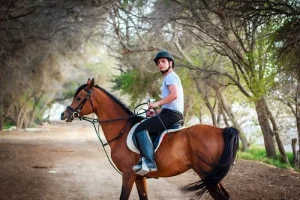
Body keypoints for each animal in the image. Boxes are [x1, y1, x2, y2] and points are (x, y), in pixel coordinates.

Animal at [60, 78, 239, 200]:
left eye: (79, 98)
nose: (64, 114)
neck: (122, 129)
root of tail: (222, 130)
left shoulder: (128, 175)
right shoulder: (139, 178)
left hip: (207, 175)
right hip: (213, 176)